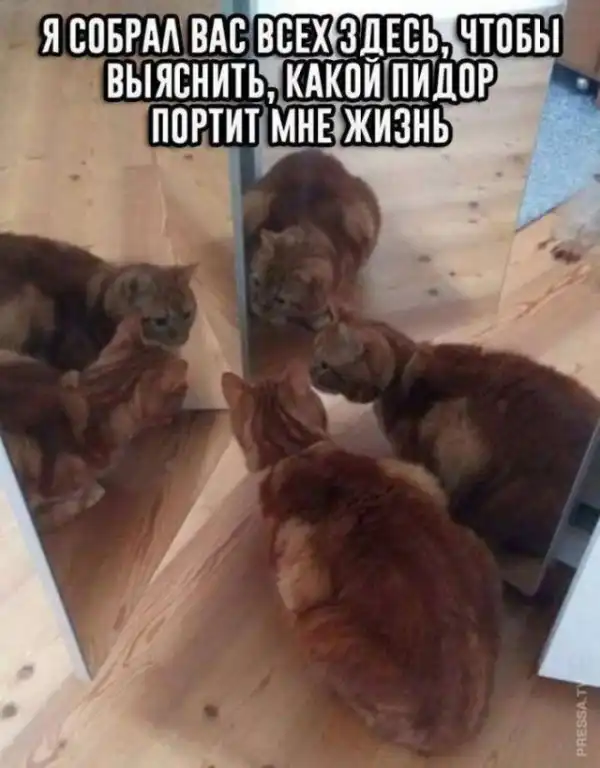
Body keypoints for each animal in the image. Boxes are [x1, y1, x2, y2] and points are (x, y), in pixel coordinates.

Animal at [221, 366, 502, 755]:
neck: (293, 450)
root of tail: (453, 726)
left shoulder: (296, 576)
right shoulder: (418, 478)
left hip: (316, 627)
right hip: (476, 544)